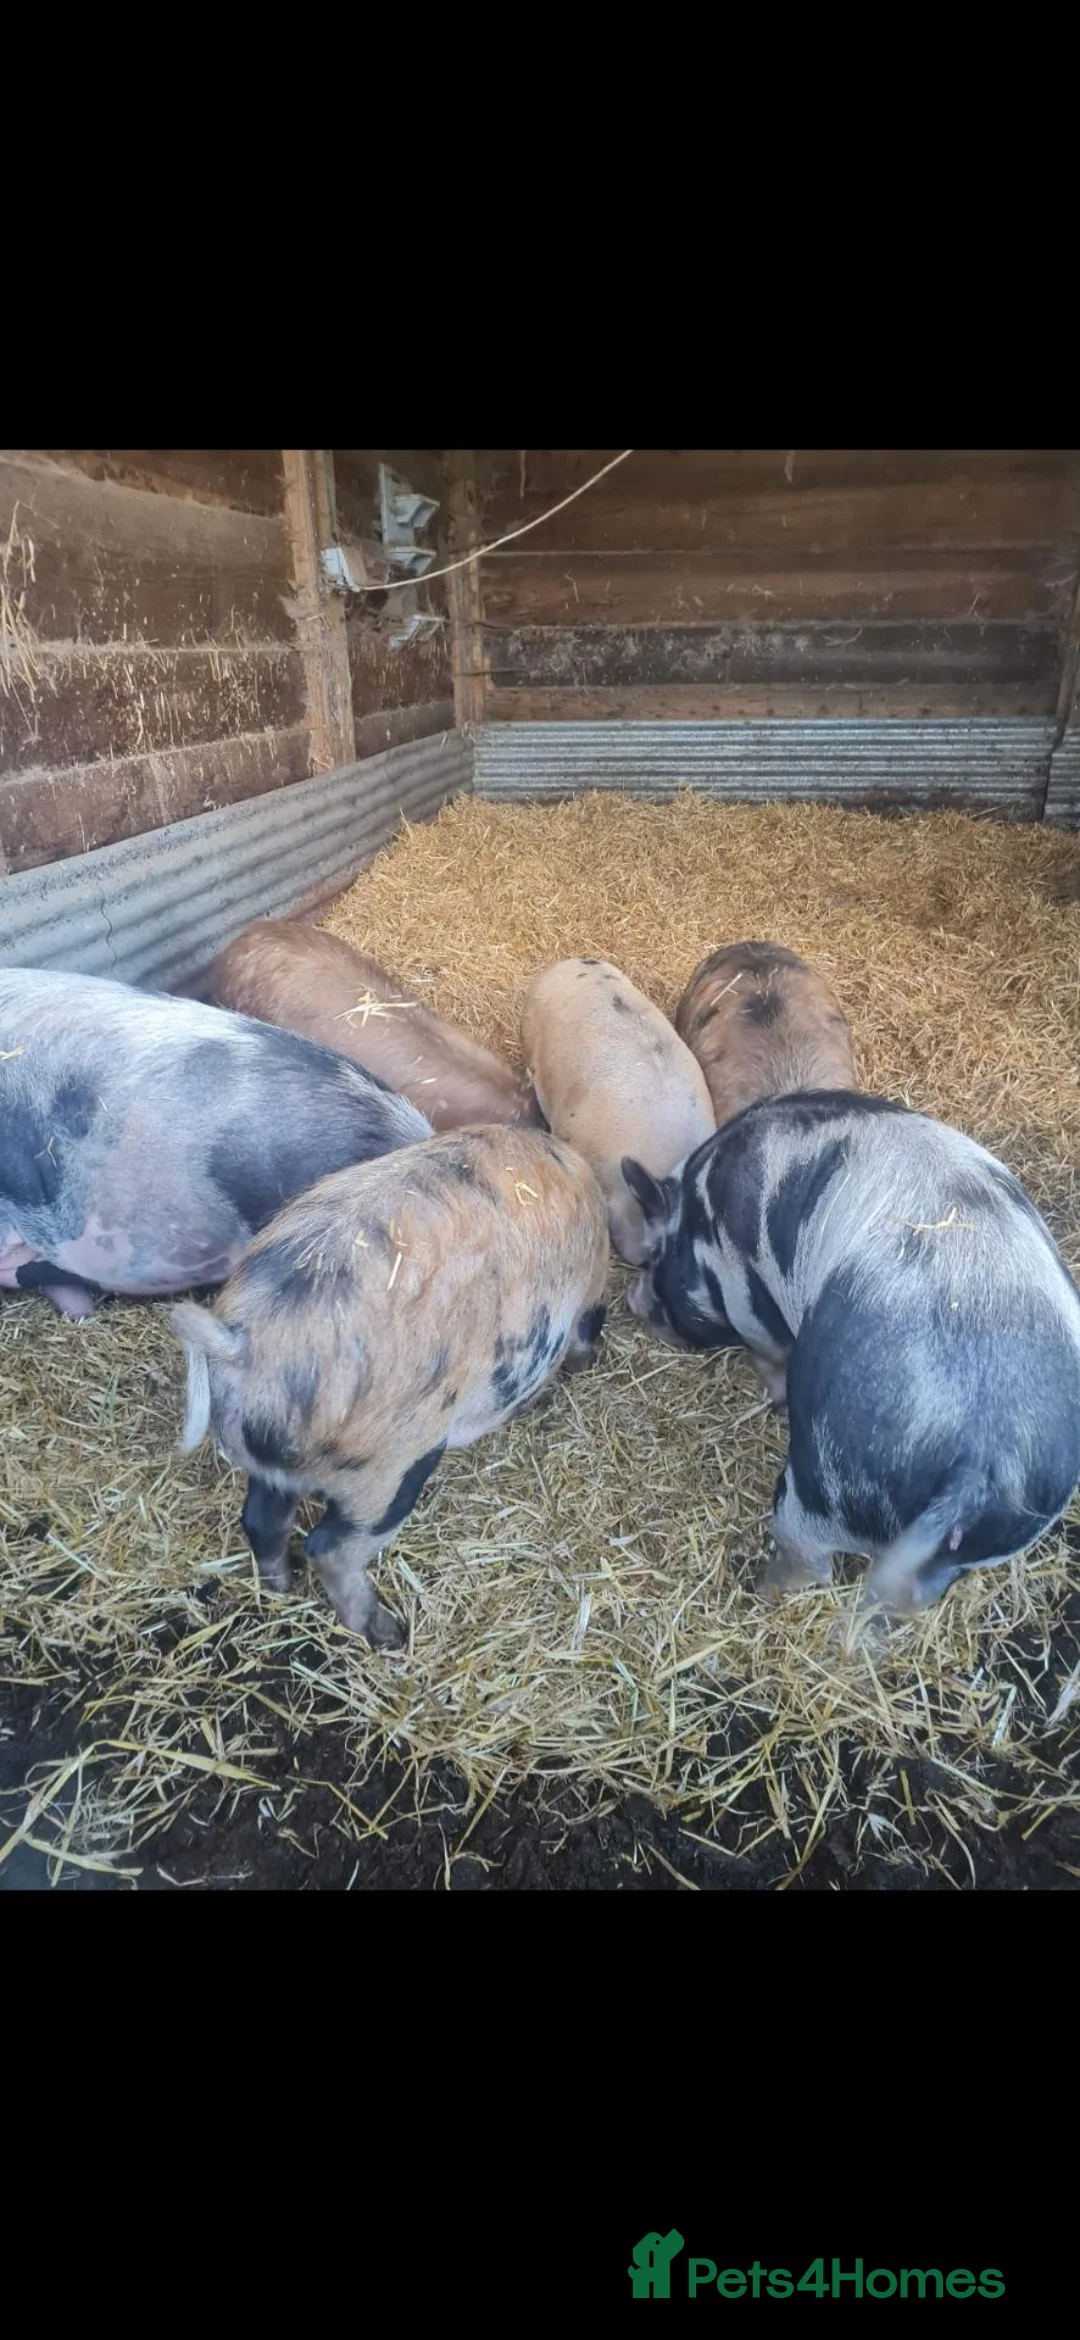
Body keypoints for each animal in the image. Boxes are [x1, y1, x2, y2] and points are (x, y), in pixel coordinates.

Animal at [170, 1125, 610, 1647]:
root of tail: (237, 1343)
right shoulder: (588, 1295)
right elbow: (585, 1328)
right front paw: (577, 1368)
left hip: (272, 1464)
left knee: (261, 1520)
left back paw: (281, 1589)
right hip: (388, 1468)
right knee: (329, 1548)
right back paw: (391, 1636)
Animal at [624, 1091, 1080, 1614]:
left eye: (654, 1256)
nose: (631, 1298)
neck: (701, 1218)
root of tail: (980, 1466)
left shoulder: (746, 1298)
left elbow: (768, 1353)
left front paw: (771, 1396)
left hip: (824, 1481)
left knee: (807, 1557)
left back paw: (763, 1591)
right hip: (1001, 1533)